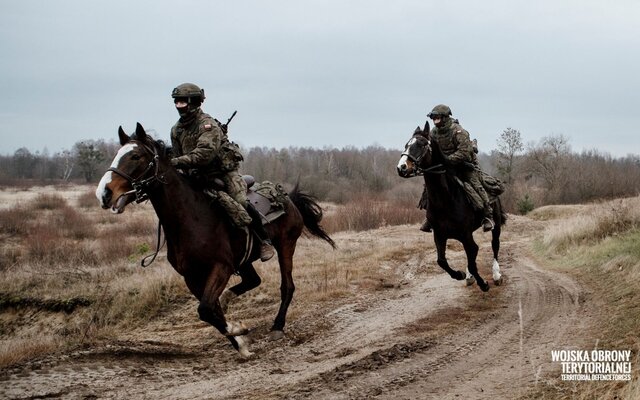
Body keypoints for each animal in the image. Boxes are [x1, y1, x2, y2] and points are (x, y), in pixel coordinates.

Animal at [96, 123, 336, 358]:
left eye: (135, 156)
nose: (104, 194)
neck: (191, 218)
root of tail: (288, 198)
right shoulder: (192, 277)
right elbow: (210, 311)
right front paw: (240, 342)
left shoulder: (221, 267)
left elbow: (206, 309)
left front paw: (239, 331)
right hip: (244, 261)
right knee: (252, 281)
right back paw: (230, 300)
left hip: (286, 245)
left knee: (287, 286)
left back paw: (277, 326)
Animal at [396, 122, 504, 290]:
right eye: (406, 145)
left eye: (421, 144)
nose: (402, 167)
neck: (445, 200)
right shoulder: (439, 235)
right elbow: (442, 261)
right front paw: (460, 274)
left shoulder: (465, 235)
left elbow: (473, 258)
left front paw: (484, 284)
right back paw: (469, 276)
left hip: (496, 225)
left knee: (495, 246)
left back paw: (496, 274)